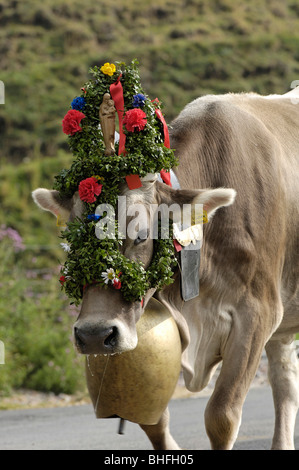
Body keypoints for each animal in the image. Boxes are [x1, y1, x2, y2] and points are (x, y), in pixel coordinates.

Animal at [32, 86, 299, 450]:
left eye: (142, 234)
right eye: (72, 238)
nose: (93, 335)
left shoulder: (258, 312)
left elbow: (222, 415)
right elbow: (152, 418)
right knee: (285, 383)